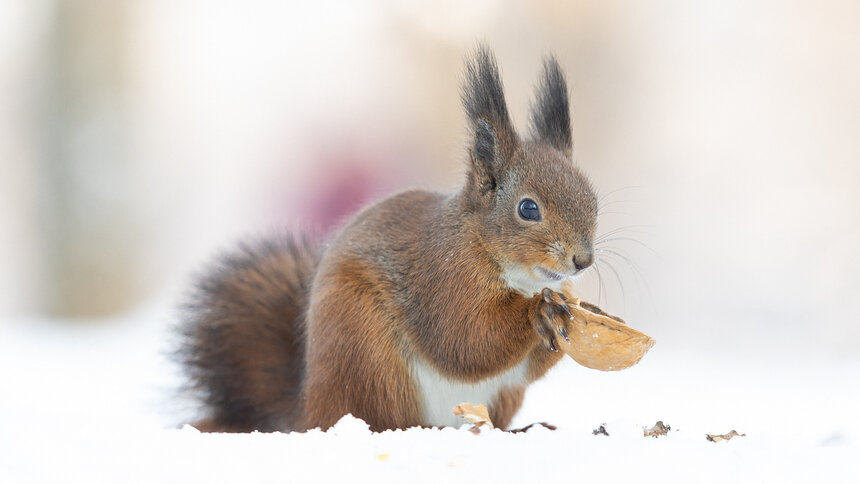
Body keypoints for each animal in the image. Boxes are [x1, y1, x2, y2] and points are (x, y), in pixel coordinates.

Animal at [180, 45, 604, 432]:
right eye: (528, 209)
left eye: (592, 199)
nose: (582, 260)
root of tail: (309, 411)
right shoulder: (445, 278)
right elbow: (467, 340)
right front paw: (540, 311)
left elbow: (526, 364)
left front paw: (584, 311)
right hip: (366, 353)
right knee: (384, 418)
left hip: (494, 395)